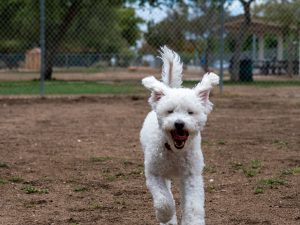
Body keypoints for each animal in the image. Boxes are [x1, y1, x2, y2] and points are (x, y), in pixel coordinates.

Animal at [139, 46, 219, 225]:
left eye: (190, 112)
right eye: (170, 111)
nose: (179, 124)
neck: (175, 151)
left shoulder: (192, 176)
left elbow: (193, 206)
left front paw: (193, 221)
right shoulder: (154, 174)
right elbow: (164, 201)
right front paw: (165, 216)